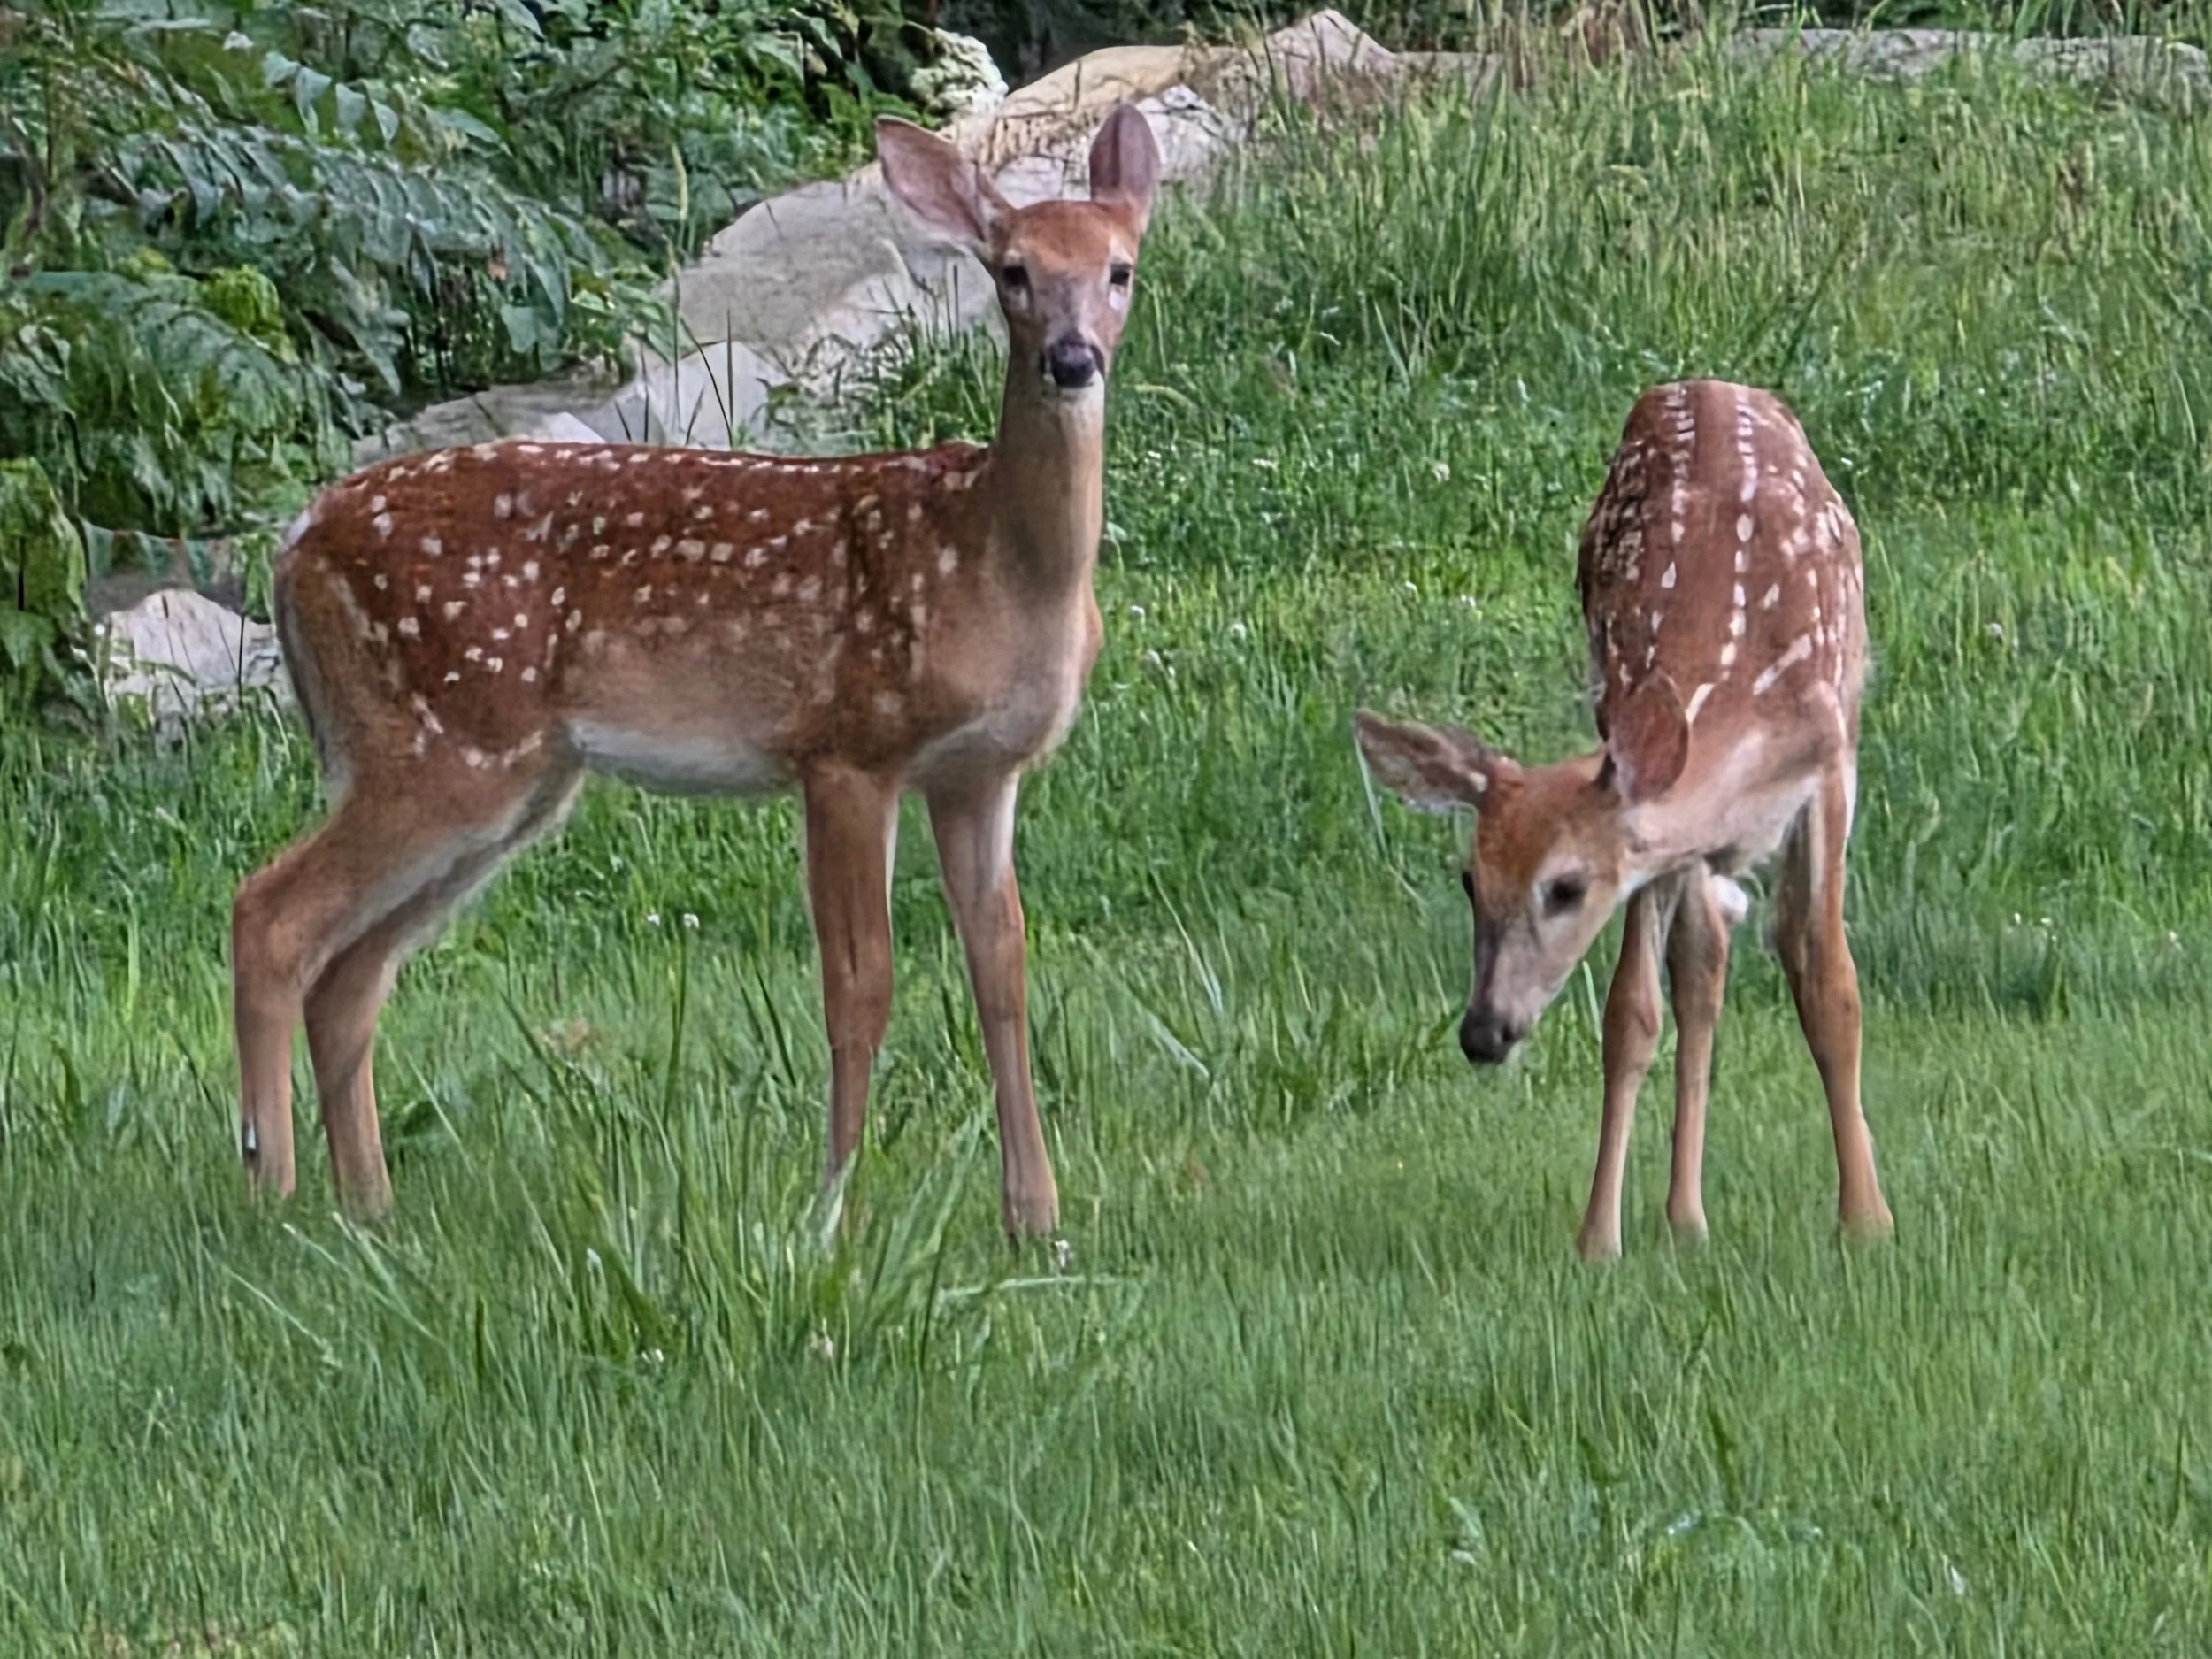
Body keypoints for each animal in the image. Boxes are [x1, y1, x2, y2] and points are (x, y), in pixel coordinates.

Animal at [228, 104, 1163, 1241]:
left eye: (1118, 269)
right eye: (1013, 272)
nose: (1071, 360)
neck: (996, 565)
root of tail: (294, 545)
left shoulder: (980, 773)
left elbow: (1002, 970)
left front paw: (1037, 1215)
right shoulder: (845, 747)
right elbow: (859, 983)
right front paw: (833, 1207)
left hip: (504, 778)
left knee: (352, 970)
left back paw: (371, 1210)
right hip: (441, 745)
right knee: (270, 915)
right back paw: (270, 1193)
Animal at [1353, 380, 1895, 1260]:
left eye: (1566, 887)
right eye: (1470, 879)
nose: (1482, 1031)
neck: (1744, 701)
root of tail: (1706, 383)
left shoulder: (1829, 772)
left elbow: (1829, 987)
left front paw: (1867, 1220)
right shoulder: (1650, 838)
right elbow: (1632, 1013)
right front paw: (1598, 1238)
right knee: (1701, 970)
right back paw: (1685, 1217)